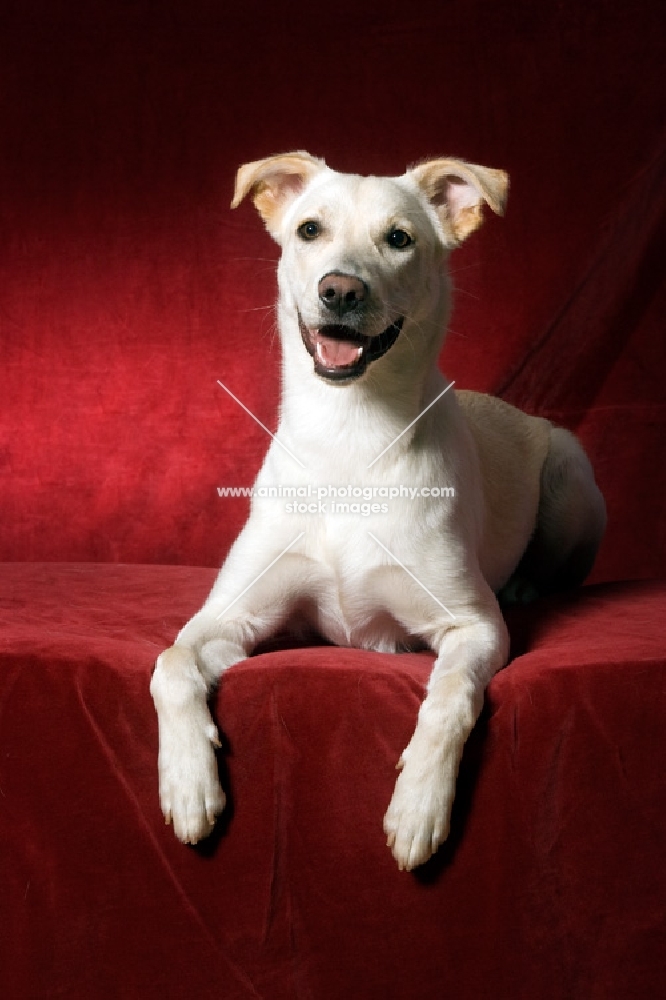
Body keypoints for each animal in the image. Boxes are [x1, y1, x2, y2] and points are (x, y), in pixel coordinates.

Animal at [152, 152, 608, 872]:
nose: (340, 290)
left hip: (571, 477)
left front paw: (419, 804)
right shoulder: (231, 615)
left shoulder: (474, 627)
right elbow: (169, 663)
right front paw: (189, 784)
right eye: (309, 229)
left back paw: (527, 584)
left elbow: (449, 698)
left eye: (399, 239)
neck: (350, 436)